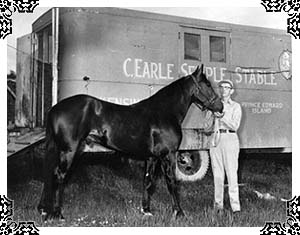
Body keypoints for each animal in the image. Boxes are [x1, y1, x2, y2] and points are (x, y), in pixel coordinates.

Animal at [37, 64, 223, 220]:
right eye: (207, 84)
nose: (220, 107)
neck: (164, 112)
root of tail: (55, 108)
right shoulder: (168, 155)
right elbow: (172, 183)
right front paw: (179, 212)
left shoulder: (152, 157)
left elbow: (148, 181)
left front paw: (146, 210)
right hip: (68, 150)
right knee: (59, 175)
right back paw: (57, 213)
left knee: (49, 172)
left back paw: (44, 210)